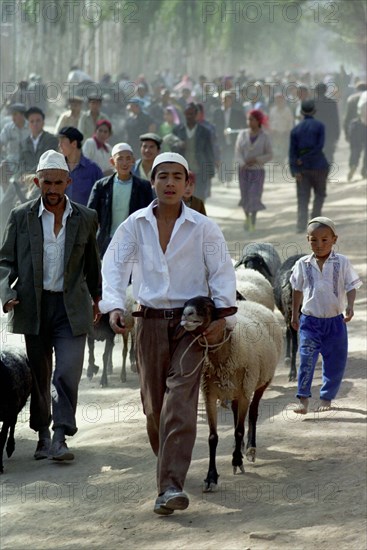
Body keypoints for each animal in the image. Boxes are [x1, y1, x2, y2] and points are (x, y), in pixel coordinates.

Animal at [180, 300, 282, 494]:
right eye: (185, 304)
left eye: (208, 307)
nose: (185, 315)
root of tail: (249, 302)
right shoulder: (209, 395)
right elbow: (213, 437)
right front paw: (211, 477)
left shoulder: (244, 393)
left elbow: (239, 430)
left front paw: (237, 461)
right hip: (235, 390)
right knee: (236, 414)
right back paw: (239, 446)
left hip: (261, 381)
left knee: (253, 413)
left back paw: (250, 448)